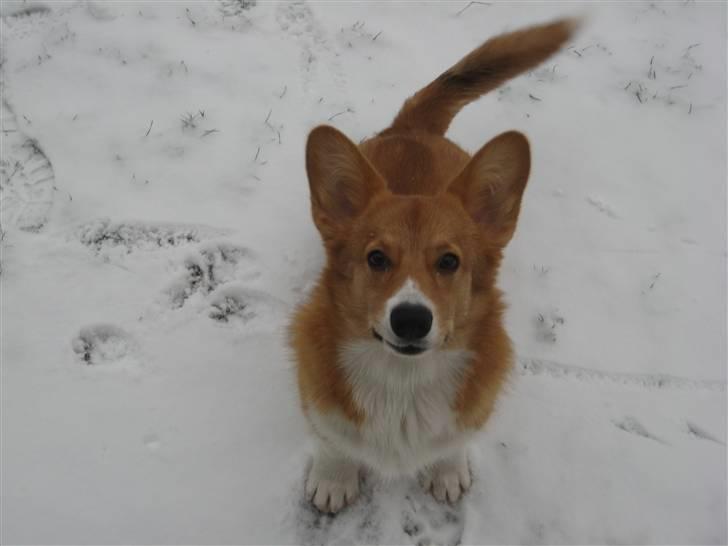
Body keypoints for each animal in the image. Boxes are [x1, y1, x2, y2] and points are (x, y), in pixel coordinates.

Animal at [290, 15, 580, 510]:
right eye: (376, 258)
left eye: (449, 261)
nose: (410, 320)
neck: (402, 384)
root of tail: (415, 129)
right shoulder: (319, 403)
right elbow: (332, 441)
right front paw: (333, 480)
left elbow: (453, 443)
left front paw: (448, 472)